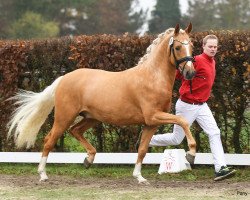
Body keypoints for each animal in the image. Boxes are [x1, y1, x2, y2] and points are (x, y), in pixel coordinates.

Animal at [7, 23, 196, 184]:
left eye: (192, 47)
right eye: (178, 47)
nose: (191, 73)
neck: (152, 78)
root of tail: (63, 78)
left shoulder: (151, 123)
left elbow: (142, 149)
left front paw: (139, 177)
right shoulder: (154, 116)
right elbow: (182, 121)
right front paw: (191, 153)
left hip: (91, 118)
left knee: (75, 131)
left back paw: (88, 159)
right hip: (64, 117)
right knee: (49, 140)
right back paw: (43, 174)